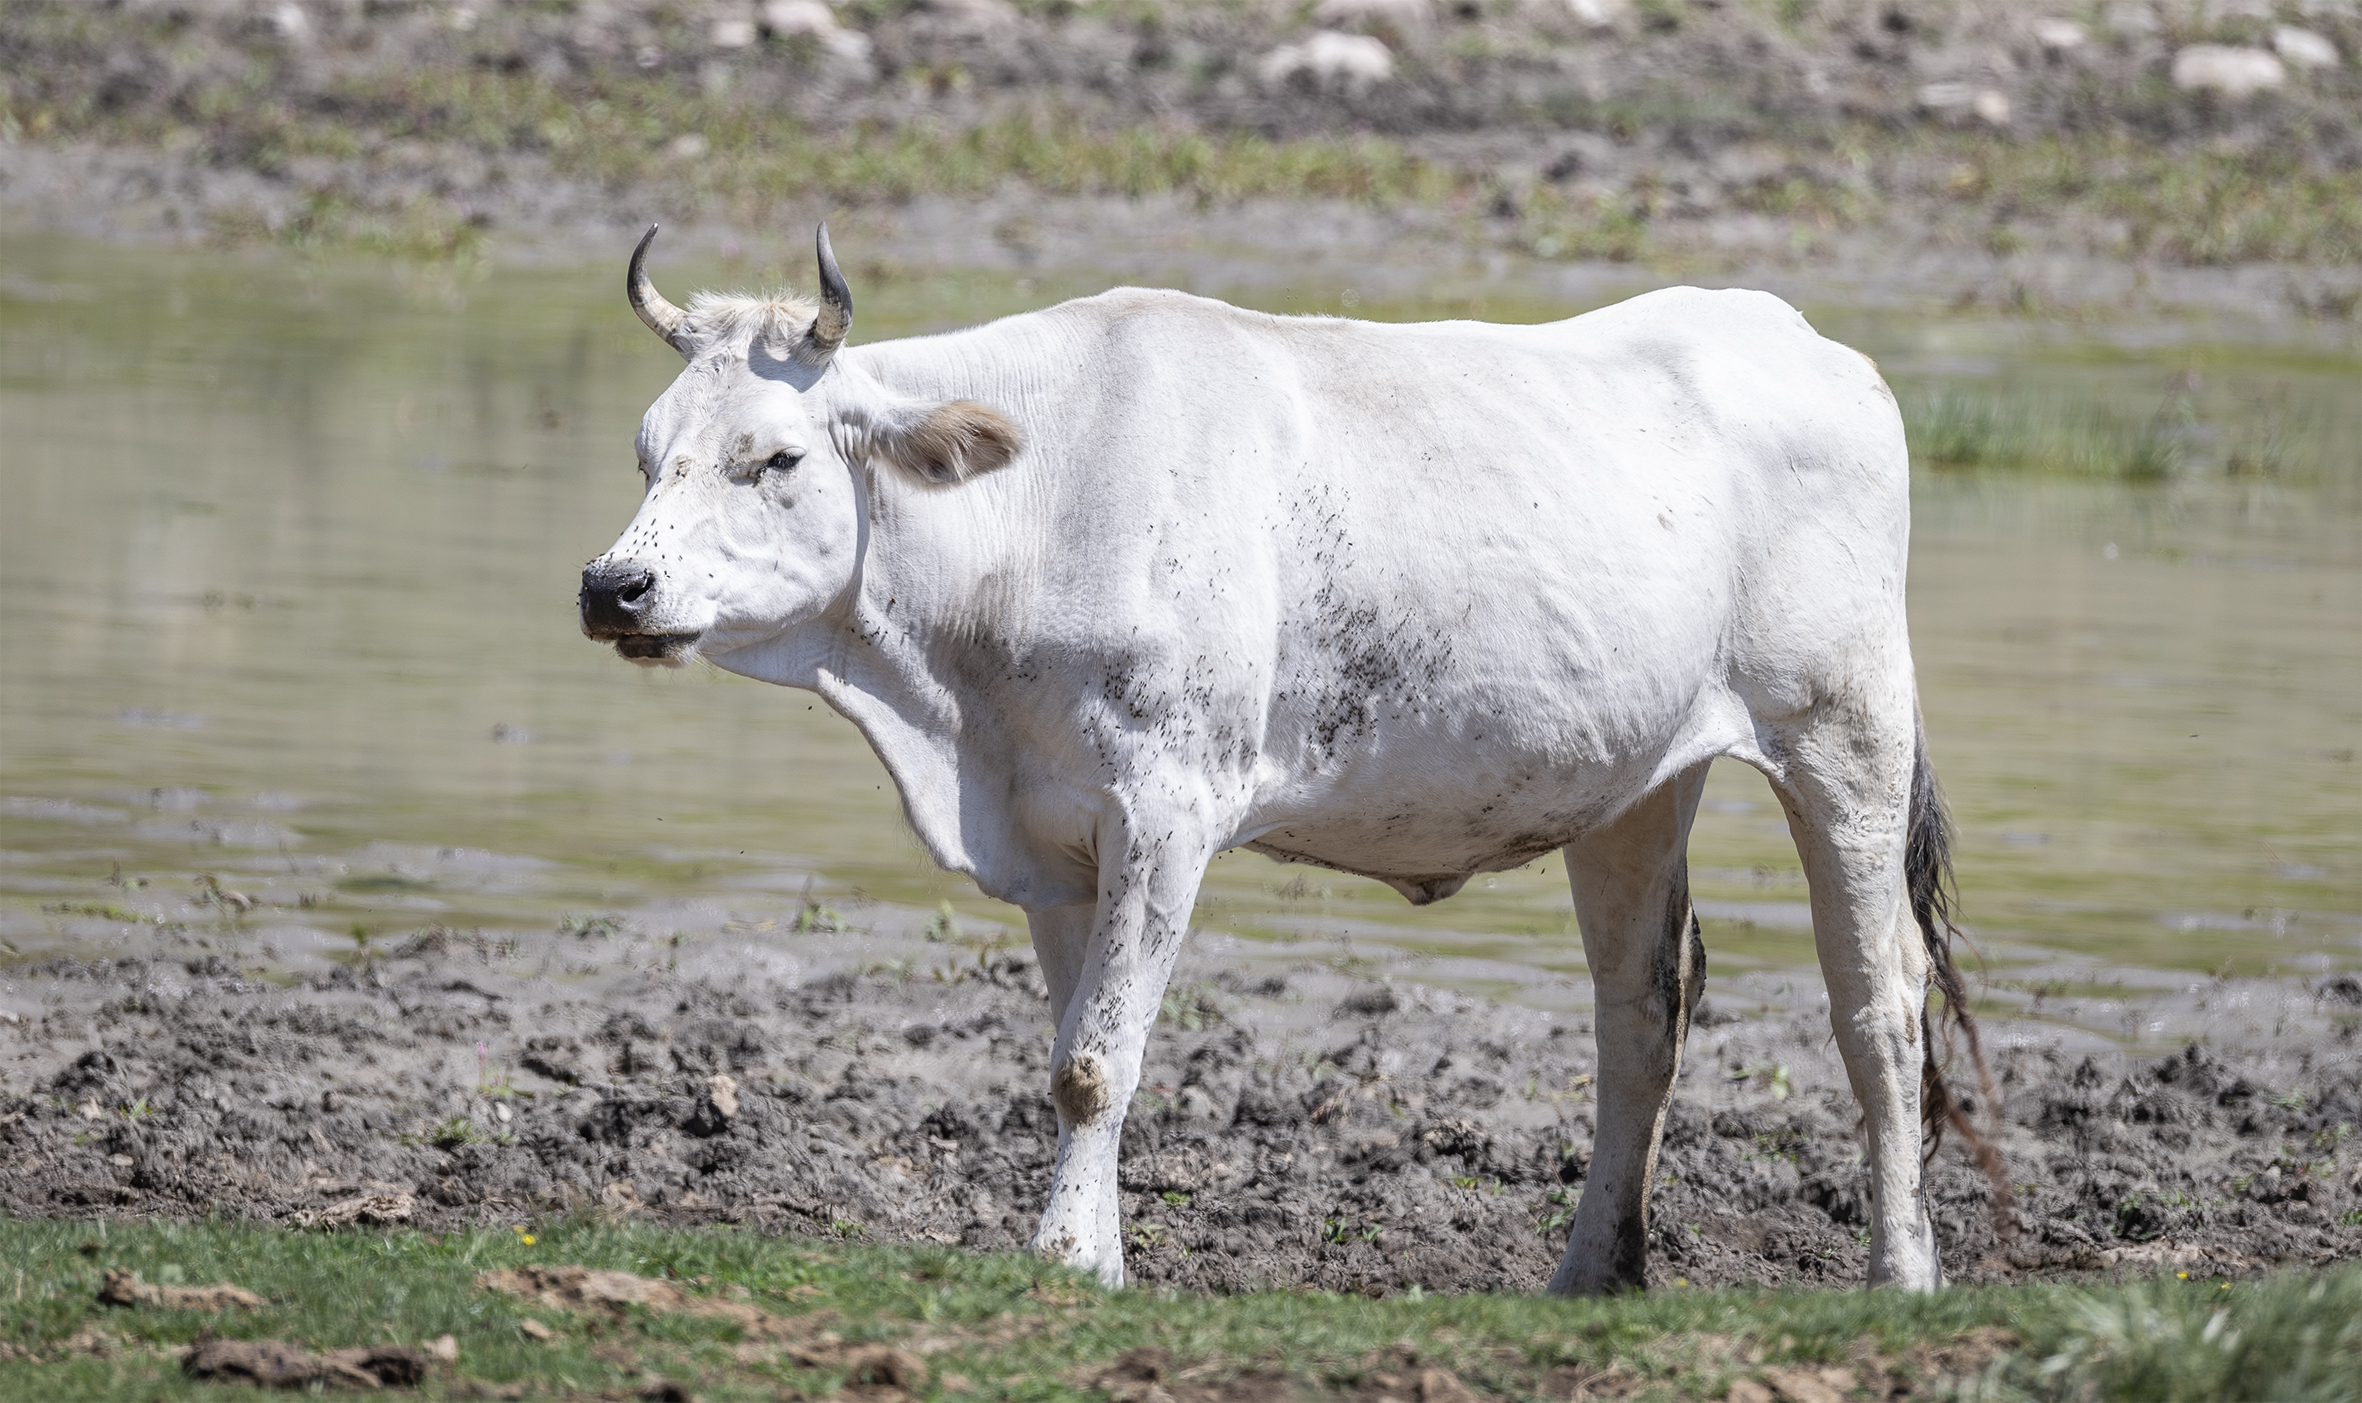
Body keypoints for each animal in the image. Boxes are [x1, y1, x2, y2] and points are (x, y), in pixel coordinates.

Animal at [580, 225, 2000, 1294]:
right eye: (646, 450)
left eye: (777, 455)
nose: (613, 585)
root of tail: (1804, 341)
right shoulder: (1053, 834)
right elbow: (1075, 1048)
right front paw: (1094, 1260)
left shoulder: (1167, 806)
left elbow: (1095, 1062)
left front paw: (1062, 1258)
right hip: (1638, 783)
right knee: (1640, 1012)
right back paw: (1591, 1272)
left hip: (1845, 729)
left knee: (1877, 1005)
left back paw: (1900, 1273)